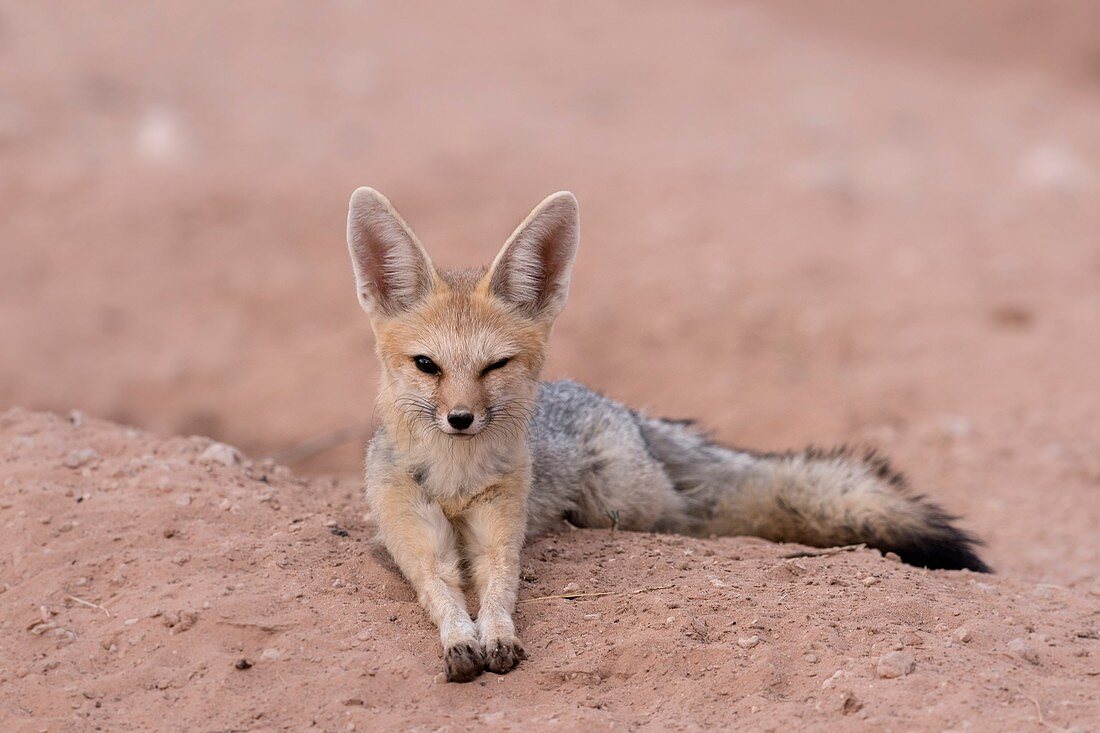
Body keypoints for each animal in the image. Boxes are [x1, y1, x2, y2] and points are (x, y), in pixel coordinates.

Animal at [345, 186, 990, 682]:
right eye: (427, 365)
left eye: (494, 366)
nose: (461, 419)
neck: (456, 482)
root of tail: (622, 408)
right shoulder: (413, 533)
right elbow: (441, 591)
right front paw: (460, 640)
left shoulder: (501, 528)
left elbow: (500, 588)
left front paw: (497, 635)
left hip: (628, 506)